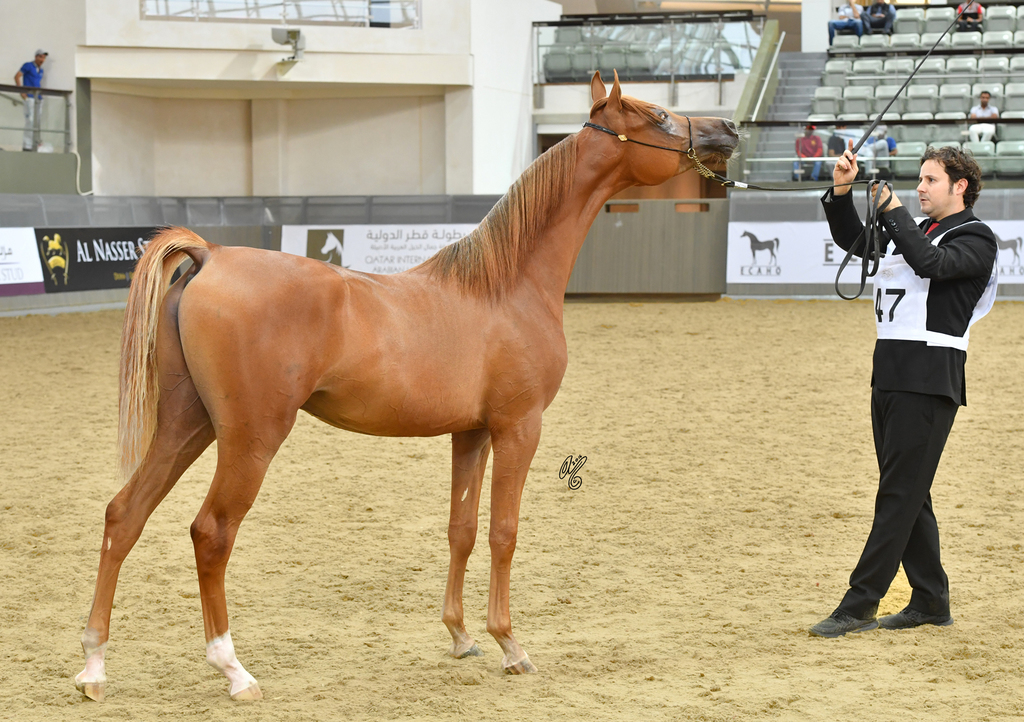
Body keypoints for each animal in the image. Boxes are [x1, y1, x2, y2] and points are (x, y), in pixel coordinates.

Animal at [74, 70, 738, 702]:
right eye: (658, 114)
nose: (728, 128)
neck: (506, 287)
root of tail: (210, 255)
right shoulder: (519, 428)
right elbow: (503, 532)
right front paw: (510, 645)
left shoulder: (471, 434)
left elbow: (461, 530)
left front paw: (462, 636)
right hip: (250, 436)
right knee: (211, 533)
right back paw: (234, 671)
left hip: (187, 424)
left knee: (123, 516)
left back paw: (93, 667)